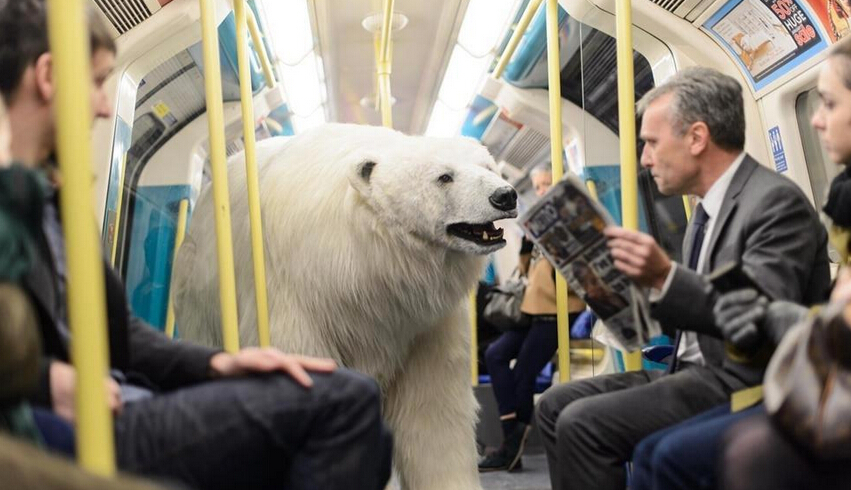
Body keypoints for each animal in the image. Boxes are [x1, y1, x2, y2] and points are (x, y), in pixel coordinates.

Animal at [171, 123, 518, 490]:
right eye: (444, 176)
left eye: (488, 166)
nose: (505, 195)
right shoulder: (296, 294)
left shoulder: (424, 323)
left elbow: (433, 405)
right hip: (200, 295)